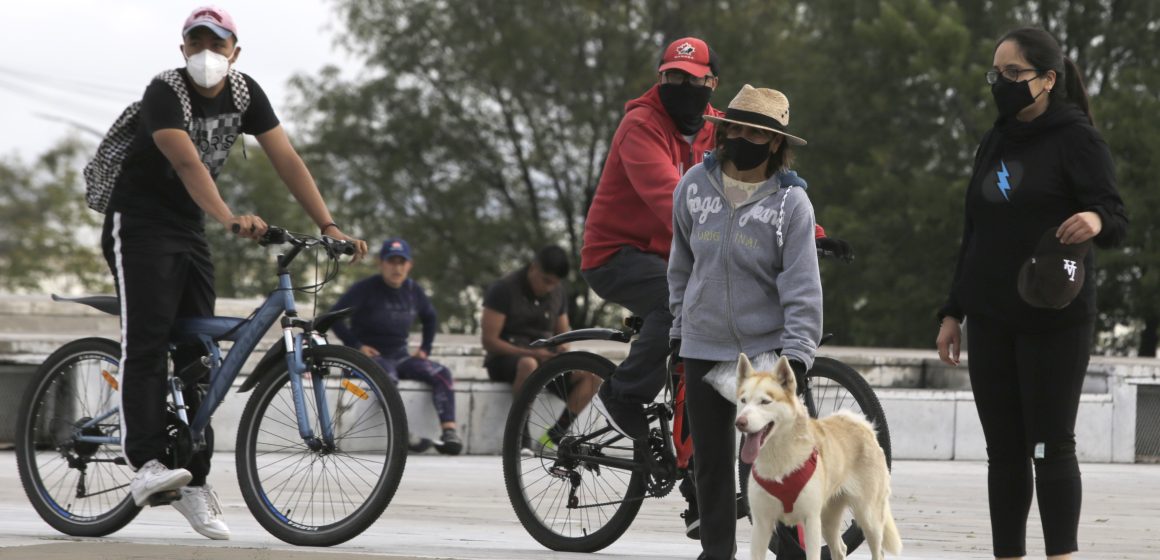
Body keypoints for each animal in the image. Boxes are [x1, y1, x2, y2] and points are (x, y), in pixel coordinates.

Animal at [733, 354, 904, 560]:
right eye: (743, 400)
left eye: (765, 402)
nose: (740, 422)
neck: (778, 459)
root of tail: (860, 424)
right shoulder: (761, 523)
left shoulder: (811, 520)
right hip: (828, 518)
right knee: (840, 548)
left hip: (868, 515)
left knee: (877, 550)